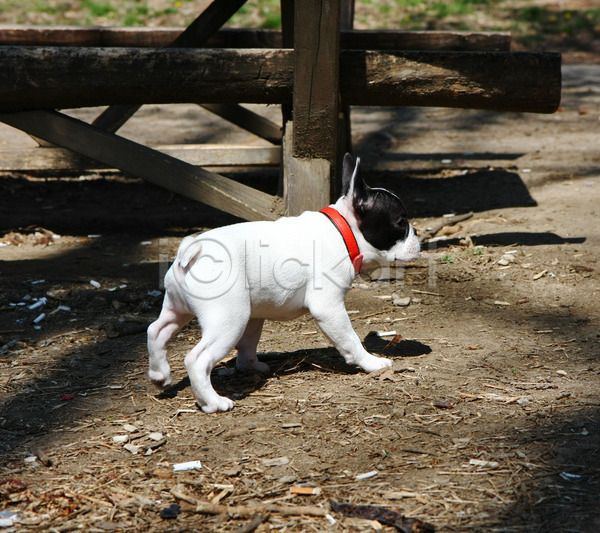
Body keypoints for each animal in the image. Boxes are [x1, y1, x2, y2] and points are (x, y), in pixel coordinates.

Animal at [148, 154, 420, 412]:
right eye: (400, 222)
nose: (417, 233)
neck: (343, 231)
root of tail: (194, 248)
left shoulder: (255, 314)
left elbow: (249, 342)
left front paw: (250, 365)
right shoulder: (329, 308)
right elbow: (350, 339)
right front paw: (371, 362)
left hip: (180, 308)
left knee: (156, 330)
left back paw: (159, 375)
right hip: (229, 319)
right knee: (197, 359)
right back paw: (212, 402)